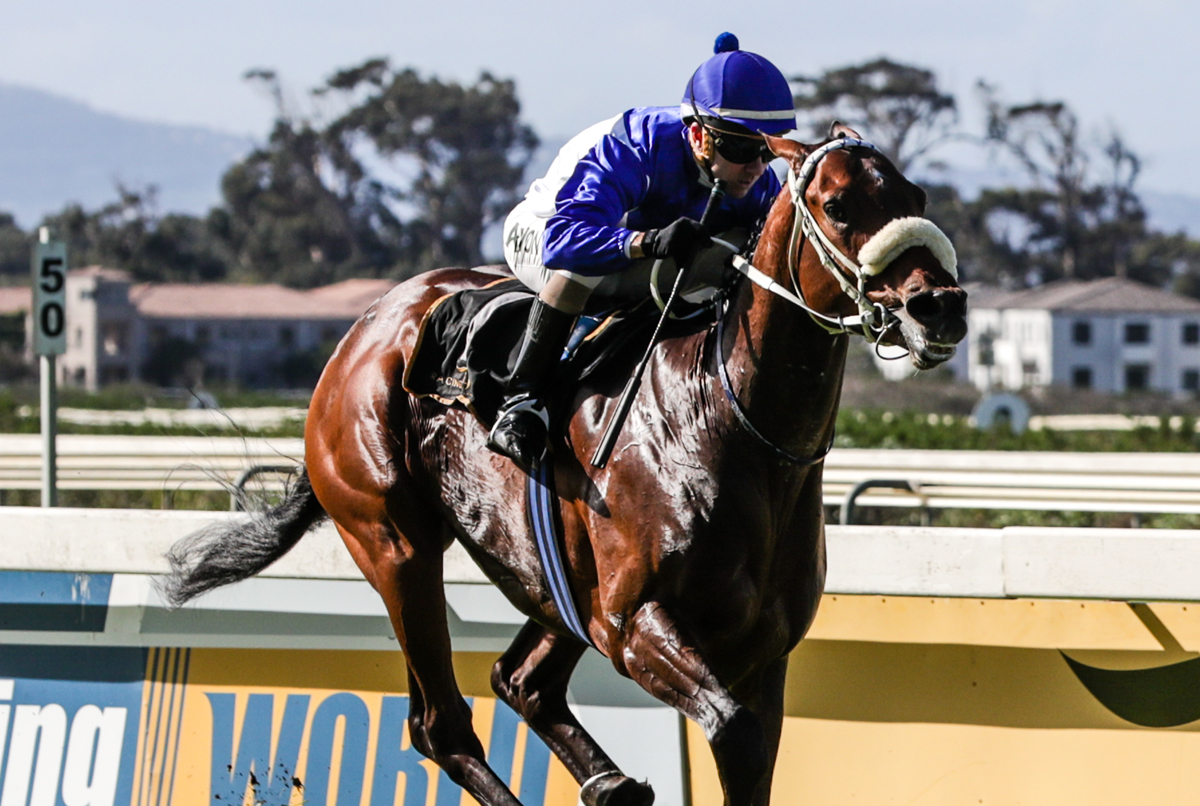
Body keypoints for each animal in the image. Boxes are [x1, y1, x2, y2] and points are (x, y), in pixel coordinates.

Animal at [164, 124, 967, 806]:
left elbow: (753, 759)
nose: (940, 306)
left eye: (917, 199)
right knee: (440, 723)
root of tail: (359, 334)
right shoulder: (634, 624)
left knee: (521, 682)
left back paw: (612, 784)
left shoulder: (761, 654)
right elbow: (731, 727)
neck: (723, 421)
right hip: (393, 543)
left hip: (554, 579)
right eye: (838, 205)